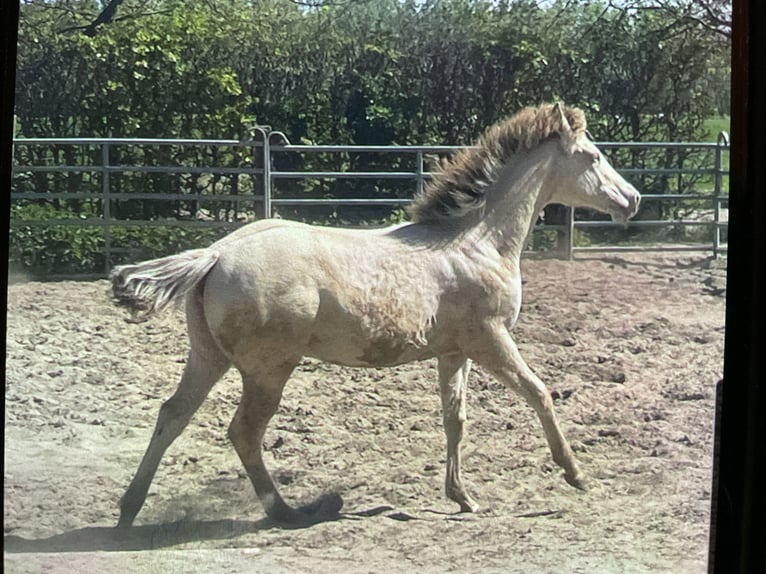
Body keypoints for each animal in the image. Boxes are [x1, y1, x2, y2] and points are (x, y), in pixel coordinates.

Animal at [110, 103, 641, 527]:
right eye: (592, 157)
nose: (632, 199)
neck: (477, 241)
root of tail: (216, 254)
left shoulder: (454, 352)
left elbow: (455, 417)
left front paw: (462, 497)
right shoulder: (490, 340)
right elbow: (539, 393)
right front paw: (575, 473)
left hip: (208, 356)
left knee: (172, 414)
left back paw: (129, 509)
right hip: (268, 370)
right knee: (243, 432)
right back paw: (292, 511)